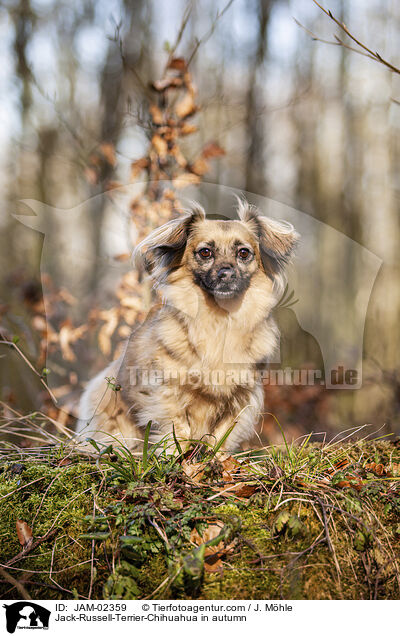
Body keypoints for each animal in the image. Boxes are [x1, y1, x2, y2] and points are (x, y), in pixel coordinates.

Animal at [76, 199, 298, 452]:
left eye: (243, 253)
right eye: (205, 252)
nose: (226, 273)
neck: (220, 320)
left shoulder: (242, 396)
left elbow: (222, 433)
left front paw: (216, 457)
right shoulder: (166, 390)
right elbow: (178, 427)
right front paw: (177, 454)